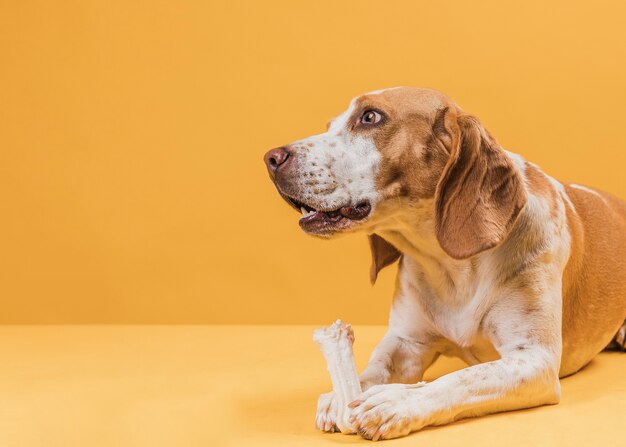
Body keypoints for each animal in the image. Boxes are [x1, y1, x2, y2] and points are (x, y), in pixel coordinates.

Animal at [260, 87, 620, 440]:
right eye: (330, 124)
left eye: (370, 117)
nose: (271, 158)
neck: (452, 265)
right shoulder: (406, 342)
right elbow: (373, 368)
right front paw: (341, 394)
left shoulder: (534, 359)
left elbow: (462, 379)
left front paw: (397, 401)